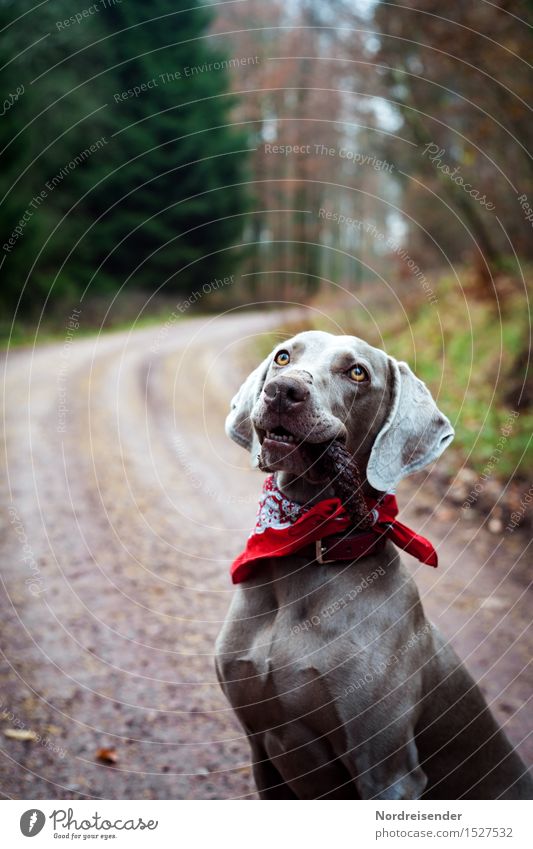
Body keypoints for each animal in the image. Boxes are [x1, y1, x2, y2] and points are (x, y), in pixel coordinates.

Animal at [214, 332, 528, 800]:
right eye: (283, 356)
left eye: (357, 372)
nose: (282, 390)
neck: (305, 545)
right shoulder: (259, 750)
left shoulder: (388, 771)